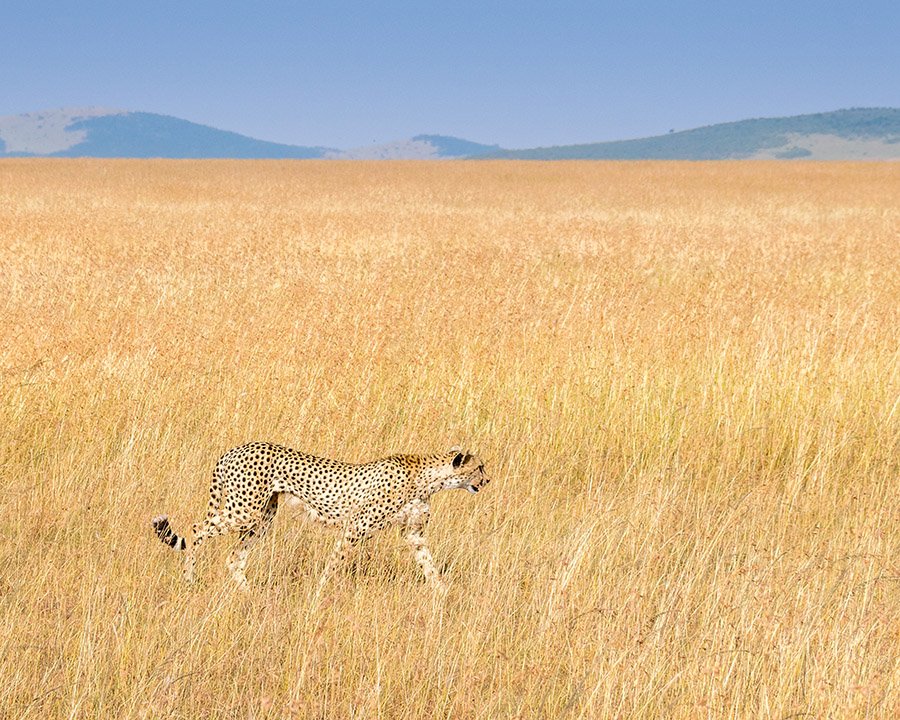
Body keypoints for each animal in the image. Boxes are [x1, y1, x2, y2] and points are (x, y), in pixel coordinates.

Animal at [151, 442, 489, 594]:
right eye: (479, 467)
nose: (487, 481)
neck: (427, 477)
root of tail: (233, 450)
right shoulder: (356, 528)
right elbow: (335, 563)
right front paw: (320, 592)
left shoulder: (414, 534)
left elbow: (429, 565)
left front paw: (442, 594)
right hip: (243, 511)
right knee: (197, 528)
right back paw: (189, 578)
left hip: (262, 517)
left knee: (234, 557)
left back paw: (249, 594)